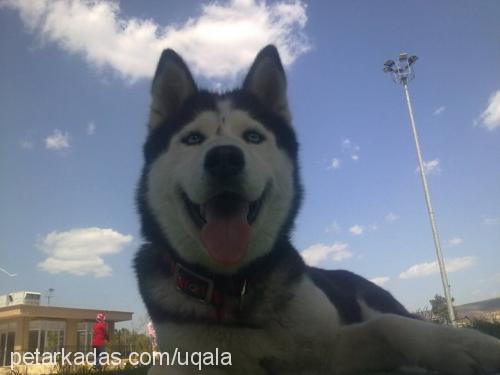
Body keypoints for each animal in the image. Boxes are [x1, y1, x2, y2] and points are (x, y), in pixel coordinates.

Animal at [136, 45, 500, 374]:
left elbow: (390, 326)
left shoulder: (331, 347)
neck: (236, 285)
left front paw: (471, 347)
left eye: (253, 137)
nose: (224, 158)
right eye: (192, 139)